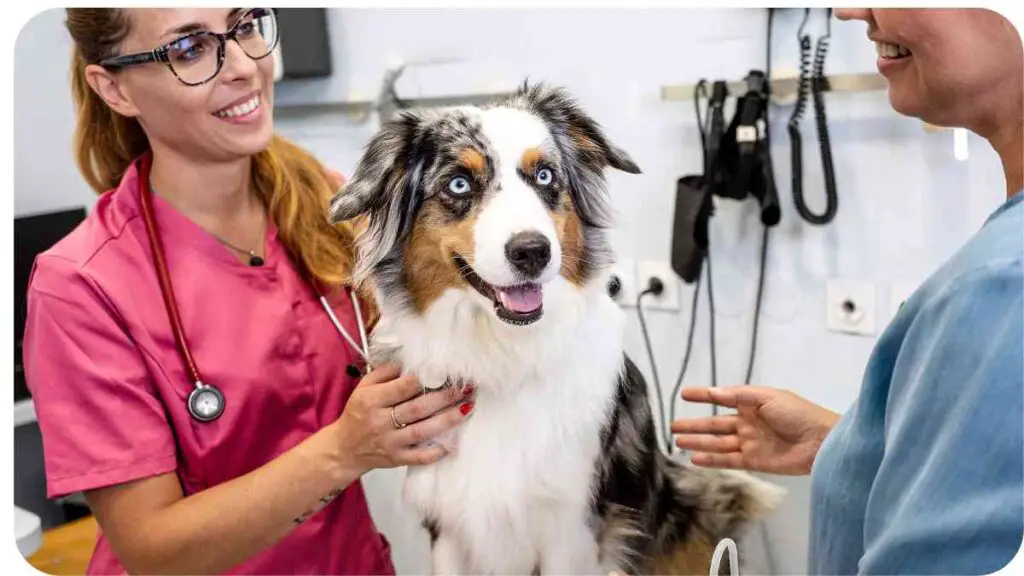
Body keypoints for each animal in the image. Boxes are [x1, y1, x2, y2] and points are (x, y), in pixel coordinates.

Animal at [327, 81, 782, 573]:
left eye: (544, 176)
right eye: (459, 183)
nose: (532, 251)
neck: (503, 353)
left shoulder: (572, 526)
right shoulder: (446, 525)